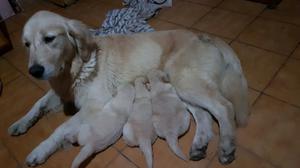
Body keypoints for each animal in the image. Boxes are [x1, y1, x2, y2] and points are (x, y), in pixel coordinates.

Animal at [8, 10, 248, 167]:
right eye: (27, 44)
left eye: (49, 39)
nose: (34, 71)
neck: (76, 66)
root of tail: (206, 35)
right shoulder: (61, 91)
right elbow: (38, 103)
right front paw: (21, 123)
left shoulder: (94, 106)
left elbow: (59, 129)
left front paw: (40, 150)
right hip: (181, 88)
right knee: (205, 115)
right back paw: (199, 145)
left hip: (186, 82)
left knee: (224, 107)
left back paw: (226, 146)